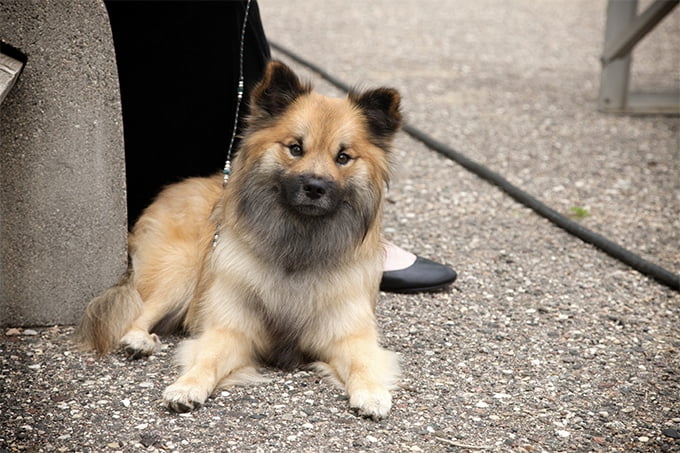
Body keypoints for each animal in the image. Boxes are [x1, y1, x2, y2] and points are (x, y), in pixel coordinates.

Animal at [77, 61, 402, 420]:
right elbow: (207, 359)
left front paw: (372, 393)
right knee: (139, 310)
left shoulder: (348, 333)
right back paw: (139, 340)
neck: (298, 243)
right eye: (295, 148)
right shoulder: (231, 327)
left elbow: (363, 363)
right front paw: (186, 387)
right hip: (181, 272)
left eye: (343, 157)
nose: (315, 187)